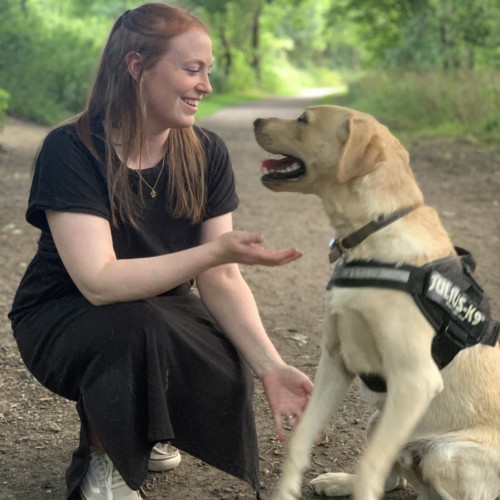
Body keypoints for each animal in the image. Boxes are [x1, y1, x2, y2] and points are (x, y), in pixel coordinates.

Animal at [254, 103, 500, 498]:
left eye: (304, 119)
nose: (256, 121)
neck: (374, 232)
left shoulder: (415, 380)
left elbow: (370, 464)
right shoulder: (335, 362)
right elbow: (300, 440)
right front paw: (286, 490)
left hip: (442, 453)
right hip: (379, 421)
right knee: (395, 475)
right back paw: (339, 481)